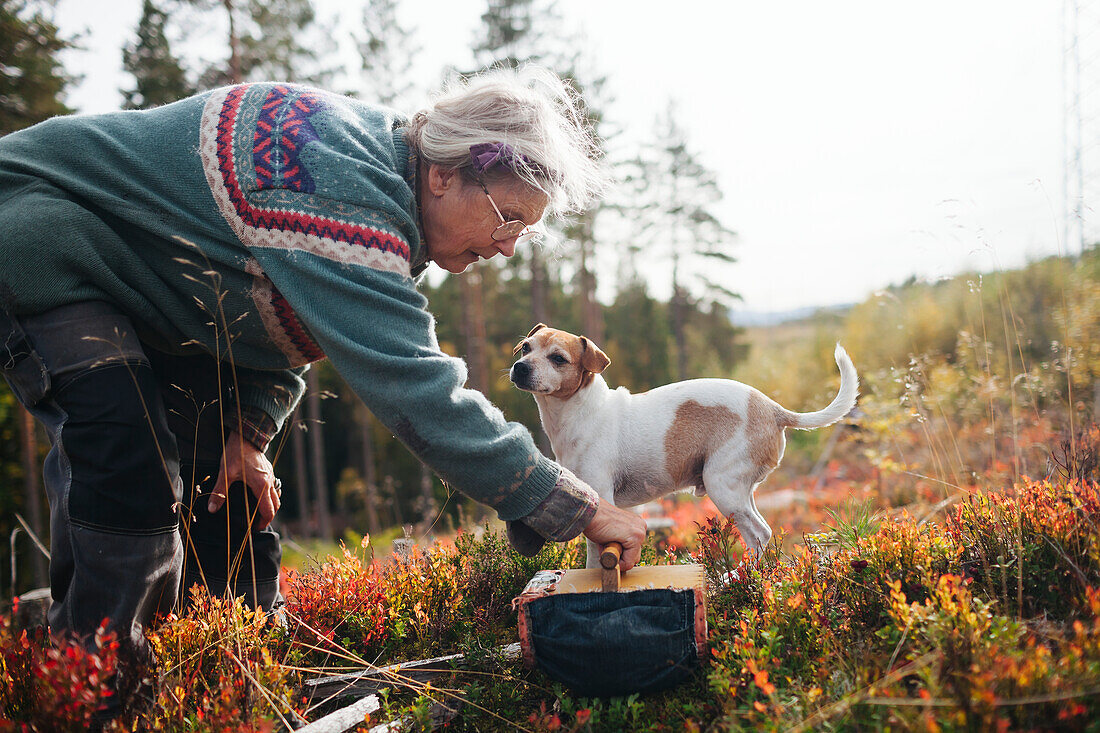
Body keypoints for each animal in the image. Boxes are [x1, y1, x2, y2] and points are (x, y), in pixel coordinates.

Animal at [508, 323, 858, 567]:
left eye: (558, 359)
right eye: (525, 348)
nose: (520, 367)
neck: (579, 412)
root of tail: (773, 409)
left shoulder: (602, 496)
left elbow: (595, 555)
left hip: (722, 485)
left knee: (759, 534)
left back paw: (736, 577)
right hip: (740, 491)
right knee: (763, 531)